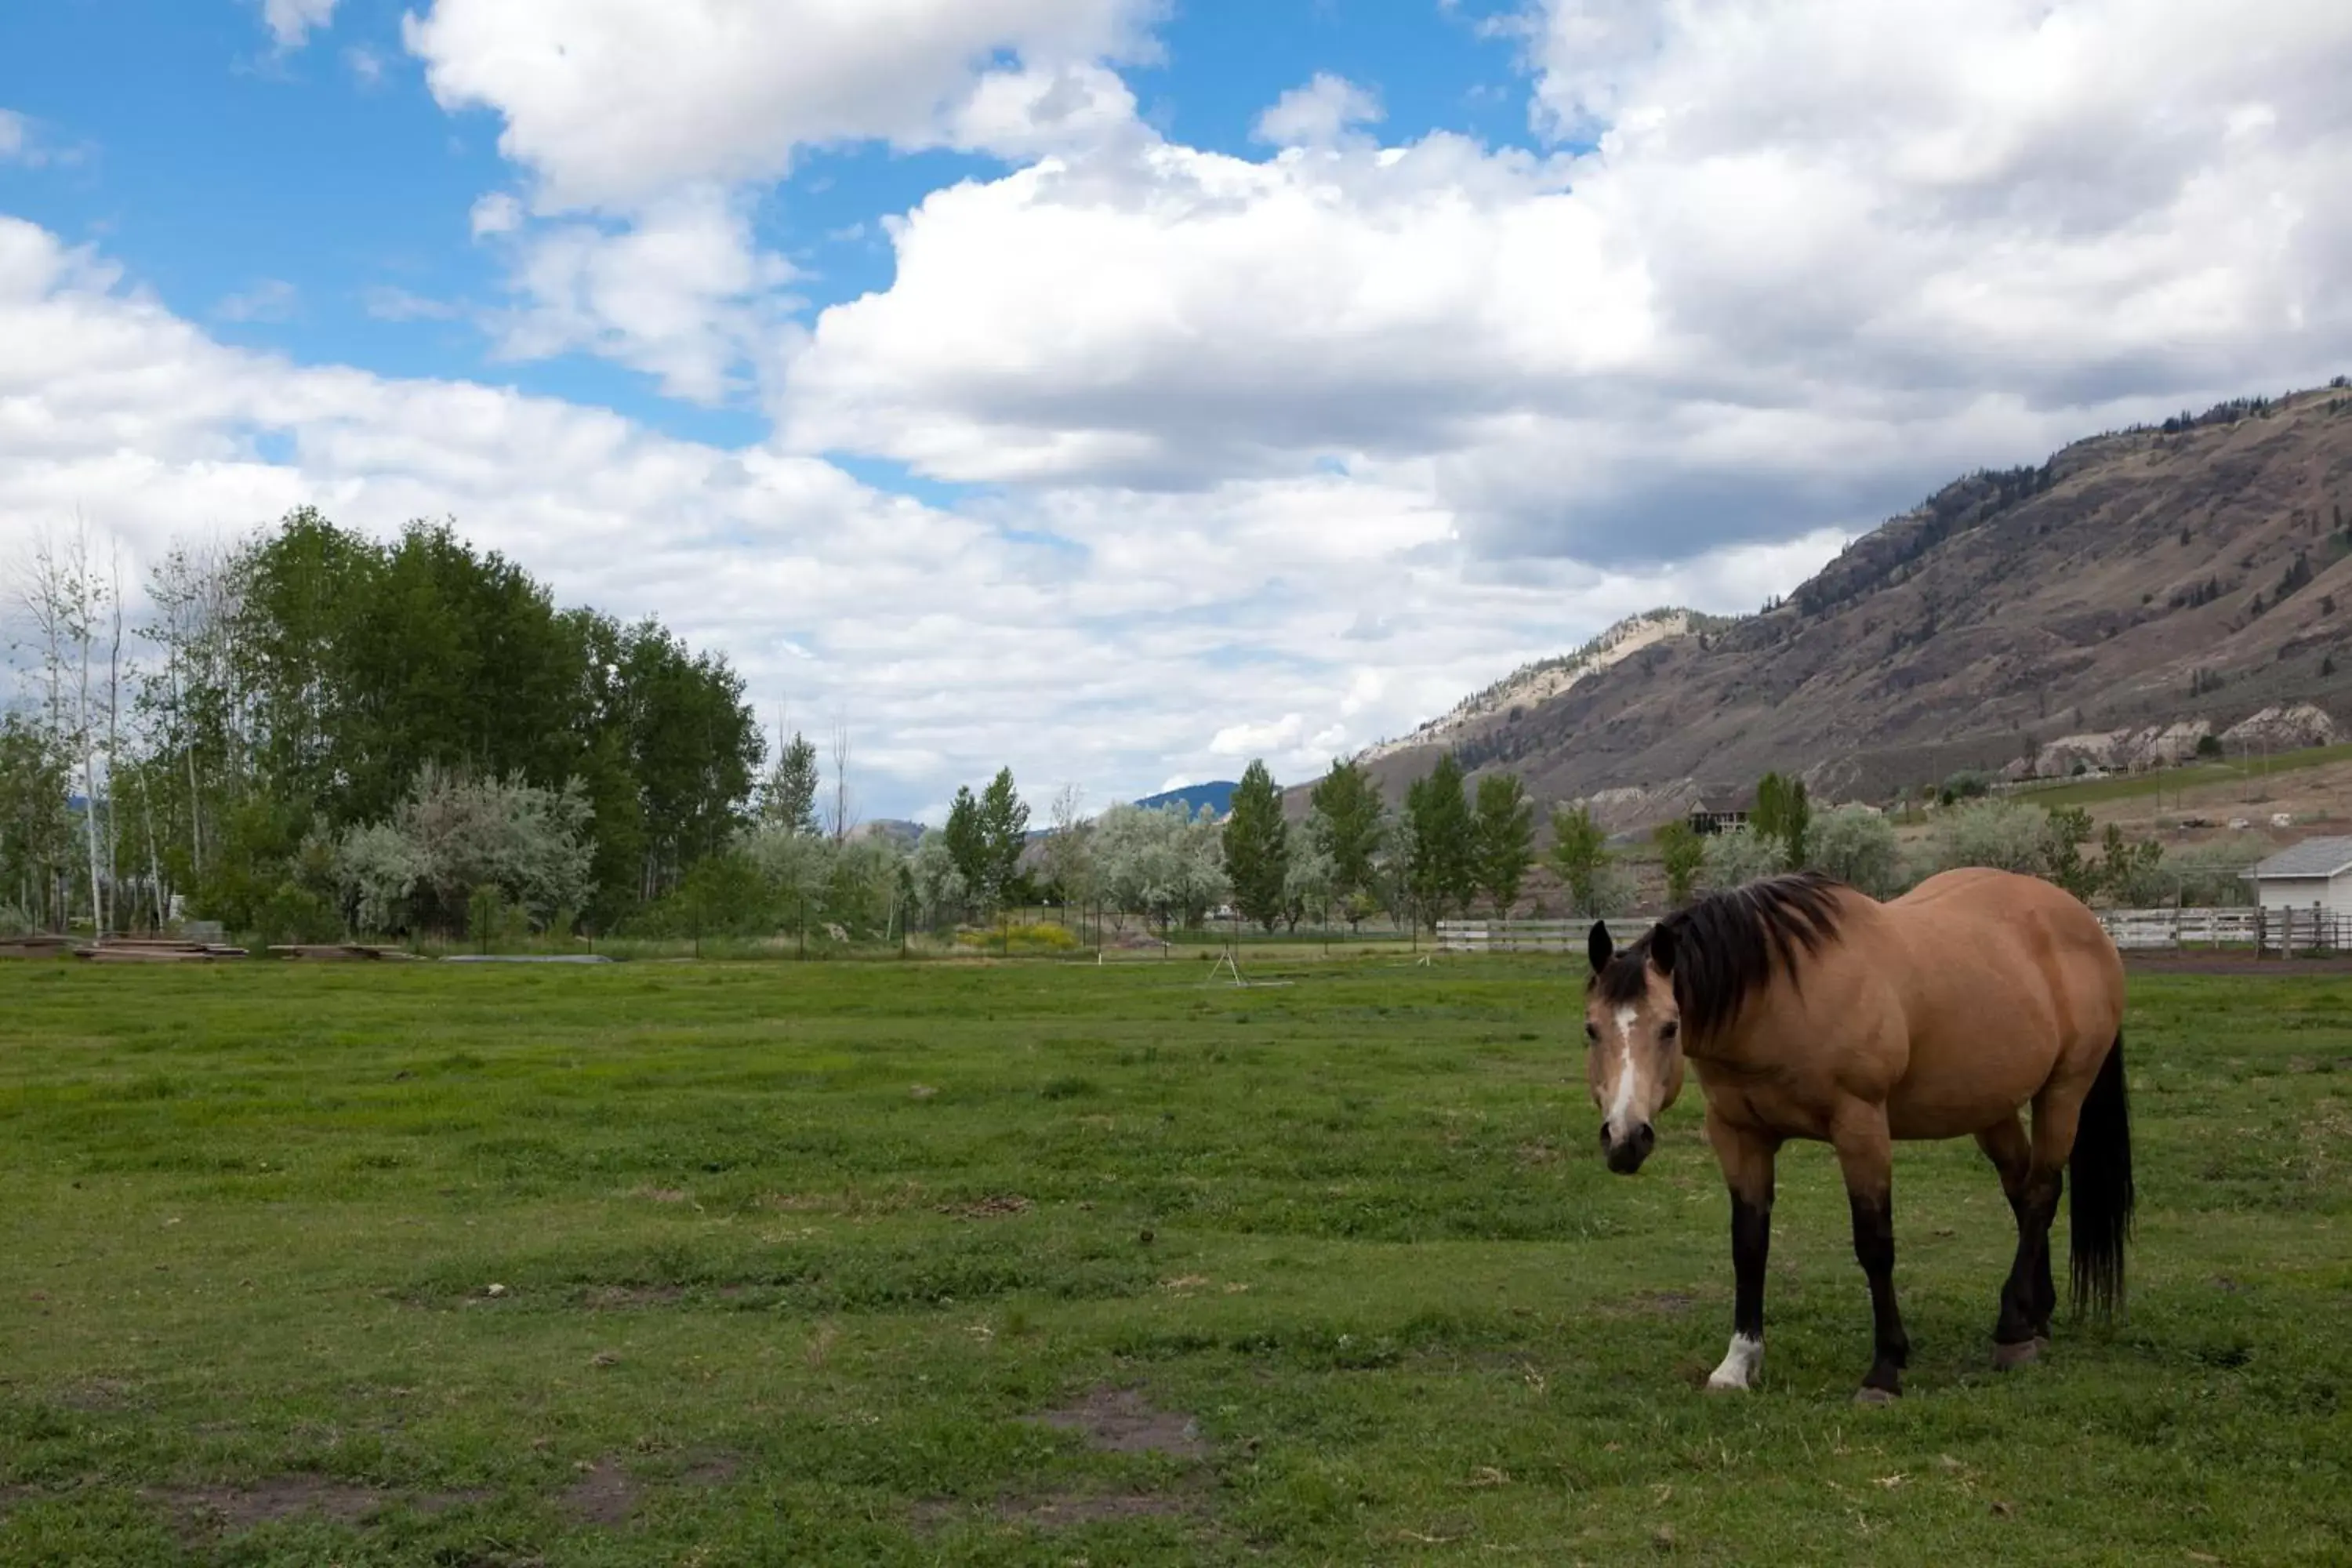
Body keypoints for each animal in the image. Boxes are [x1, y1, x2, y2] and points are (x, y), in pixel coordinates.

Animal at [1581, 865, 2136, 1401]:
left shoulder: (1860, 1127)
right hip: (1991, 1107)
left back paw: (2011, 1329)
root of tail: (2084, 922)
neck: (1779, 998)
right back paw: (2033, 1321)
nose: (1626, 1138)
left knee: (2042, 1193)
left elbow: (1874, 1244)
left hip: (2064, 1092)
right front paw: (1738, 1364)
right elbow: (1749, 1246)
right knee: (2024, 1196)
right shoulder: (1739, 1135)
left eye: (1669, 1027)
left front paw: (1885, 1369)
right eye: (1591, 1029)